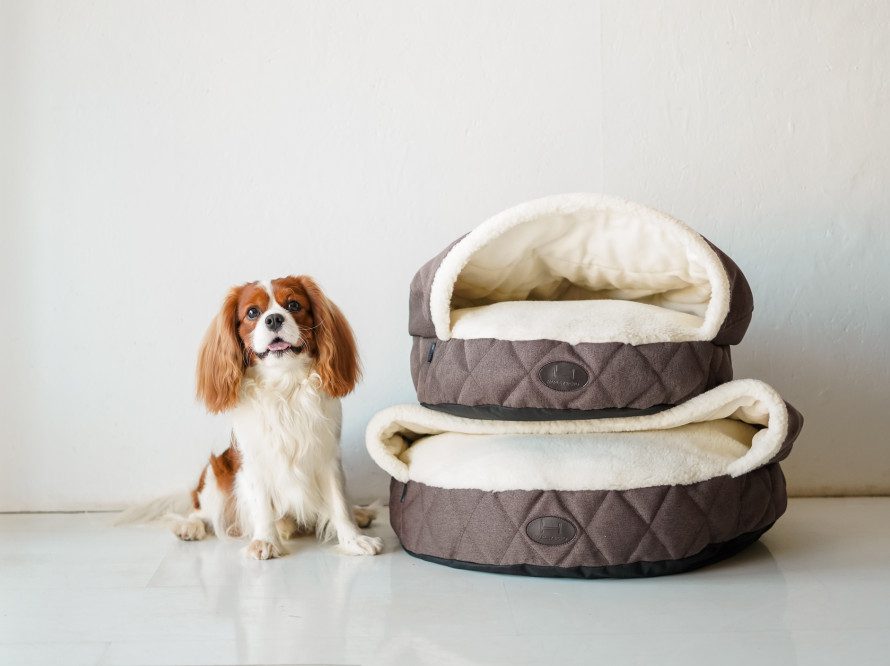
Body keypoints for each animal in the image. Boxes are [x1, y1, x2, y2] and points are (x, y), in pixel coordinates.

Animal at [124, 275, 382, 560]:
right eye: (252, 313)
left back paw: (360, 512)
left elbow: (338, 503)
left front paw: (354, 539)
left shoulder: (327, 457)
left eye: (293, 305)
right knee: (203, 511)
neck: (283, 385)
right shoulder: (254, 460)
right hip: (215, 472)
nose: (274, 319)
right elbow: (262, 505)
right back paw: (190, 526)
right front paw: (265, 541)